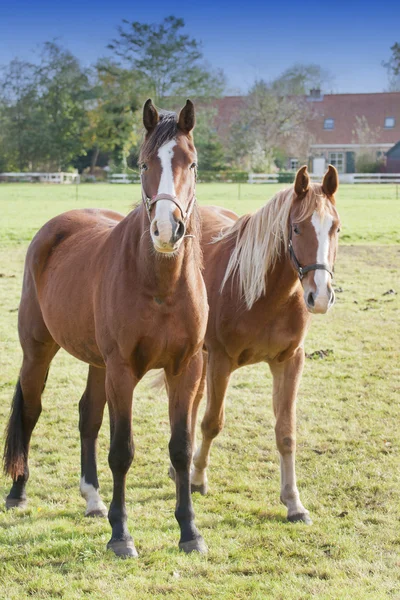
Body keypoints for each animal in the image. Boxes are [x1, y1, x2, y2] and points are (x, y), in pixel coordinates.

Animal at [3, 99, 209, 556]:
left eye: (192, 163)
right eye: (144, 163)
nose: (167, 229)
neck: (160, 285)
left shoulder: (185, 370)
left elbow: (181, 449)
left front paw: (189, 531)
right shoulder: (122, 371)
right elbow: (122, 451)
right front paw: (121, 535)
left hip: (97, 363)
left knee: (88, 417)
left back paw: (92, 498)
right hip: (39, 352)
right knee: (30, 409)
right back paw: (18, 493)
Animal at [171, 164, 340, 524]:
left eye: (335, 228)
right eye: (296, 228)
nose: (319, 296)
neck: (266, 295)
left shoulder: (290, 361)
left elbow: (286, 432)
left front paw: (293, 502)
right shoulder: (221, 361)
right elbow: (212, 422)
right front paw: (197, 479)